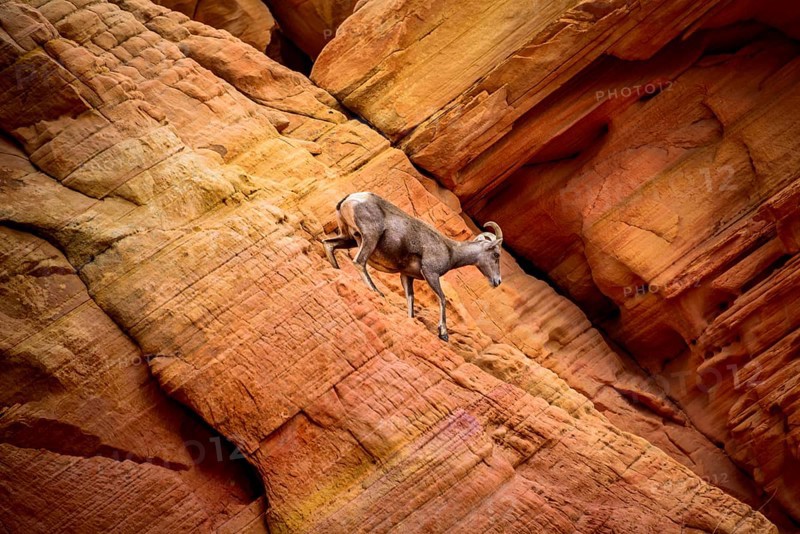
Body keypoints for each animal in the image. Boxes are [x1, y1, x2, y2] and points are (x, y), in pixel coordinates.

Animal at [322, 192, 503, 341]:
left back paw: (336, 270)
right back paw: (377, 292)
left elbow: (410, 300)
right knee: (359, 262)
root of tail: (350, 199)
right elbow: (442, 299)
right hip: (370, 238)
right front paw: (443, 334)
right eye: (496, 255)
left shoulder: (406, 276)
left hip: (349, 238)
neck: (451, 251)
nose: (498, 281)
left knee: (328, 244)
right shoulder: (430, 273)